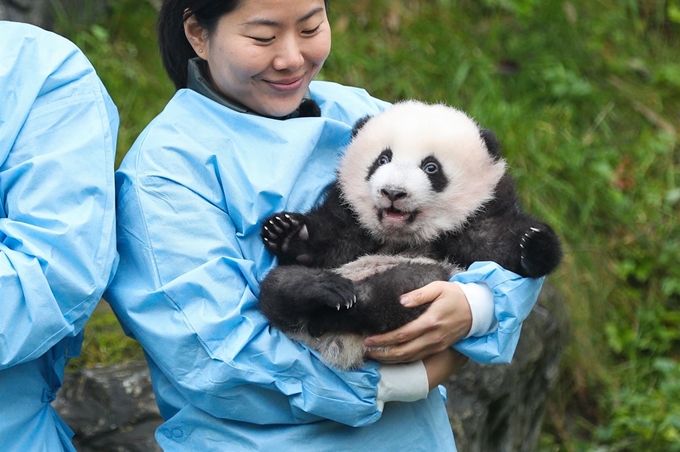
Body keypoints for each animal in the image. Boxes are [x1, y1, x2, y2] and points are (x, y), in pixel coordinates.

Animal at [258, 100, 560, 370]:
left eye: (431, 167)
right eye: (382, 159)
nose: (393, 192)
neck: (403, 236)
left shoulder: (481, 211)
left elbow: (498, 244)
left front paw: (536, 245)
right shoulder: (350, 213)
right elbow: (331, 243)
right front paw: (286, 231)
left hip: (428, 289)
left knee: (404, 288)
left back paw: (336, 309)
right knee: (277, 287)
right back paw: (321, 290)